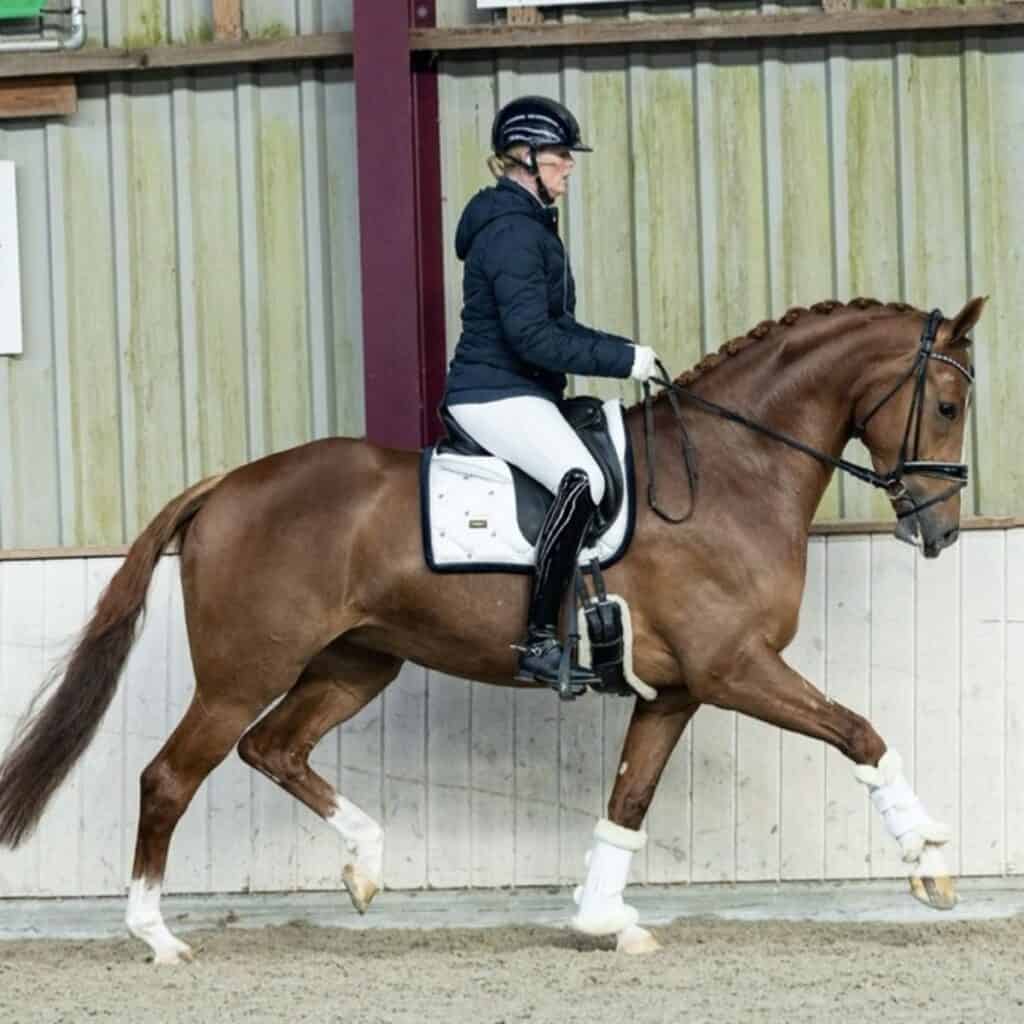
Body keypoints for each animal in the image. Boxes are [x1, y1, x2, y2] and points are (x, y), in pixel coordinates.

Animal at [0, 296, 984, 963]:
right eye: (945, 406)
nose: (938, 531)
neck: (732, 470)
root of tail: (225, 486)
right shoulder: (737, 668)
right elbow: (860, 732)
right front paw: (930, 860)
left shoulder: (676, 690)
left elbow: (627, 802)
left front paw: (603, 919)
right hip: (244, 672)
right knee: (170, 778)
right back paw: (157, 937)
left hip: (356, 665)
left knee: (273, 749)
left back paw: (365, 865)